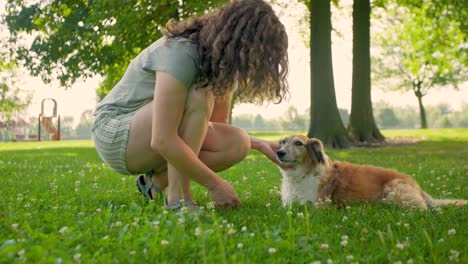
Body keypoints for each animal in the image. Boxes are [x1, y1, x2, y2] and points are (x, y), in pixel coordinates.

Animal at [276, 135, 466, 209]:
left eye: (299, 143)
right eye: (283, 141)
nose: (279, 153)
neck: (302, 173)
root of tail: (417, 187)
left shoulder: (317, 205)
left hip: (394, 190)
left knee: (423, 209)